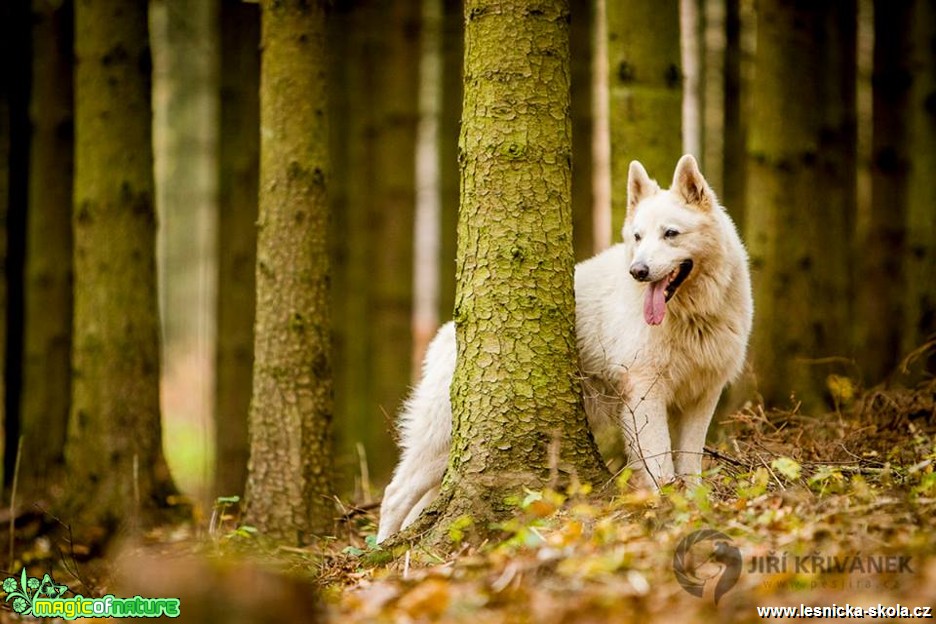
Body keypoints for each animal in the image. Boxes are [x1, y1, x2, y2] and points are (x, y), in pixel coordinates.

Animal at [376, 155, 748, 540]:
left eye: (670, 234)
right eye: (638, 237)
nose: (638, 271)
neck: (693, 316)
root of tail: (446, 333)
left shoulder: (702, 397)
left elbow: (689, 465)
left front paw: (693, 507)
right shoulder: (647, 394)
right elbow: (660, 467)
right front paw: (667, 510)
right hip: (442, 440)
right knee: (394, 495)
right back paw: (382, 547)